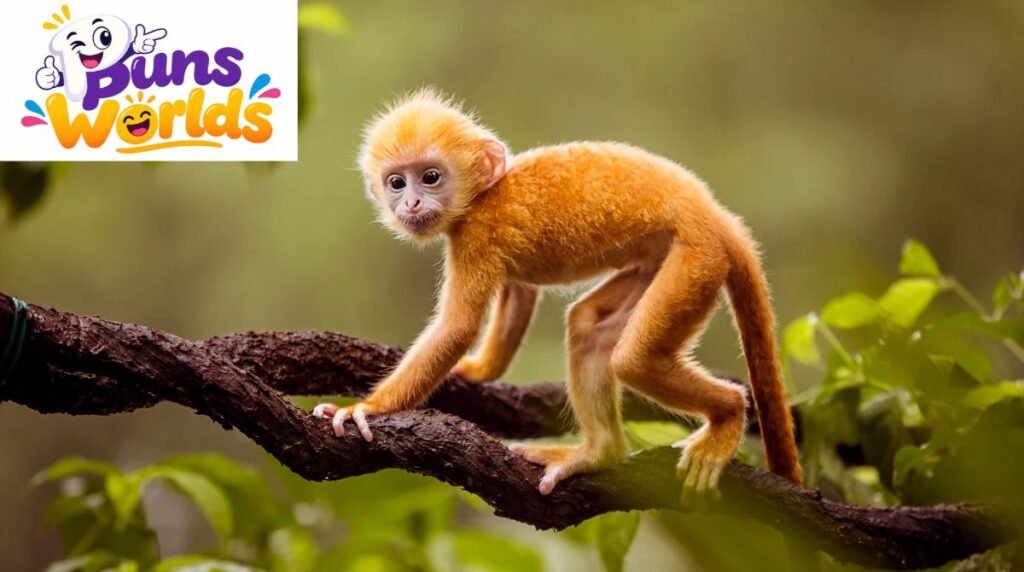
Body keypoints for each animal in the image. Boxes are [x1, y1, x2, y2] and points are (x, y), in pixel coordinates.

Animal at [313, 88, 802, 501]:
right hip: (664, 261)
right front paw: (475, 371)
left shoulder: (477, 234)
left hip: (697, 259)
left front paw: (367, 409)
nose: (410, 203)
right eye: (397, 183)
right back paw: (600, 452)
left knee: (634, 359)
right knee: (590, 327)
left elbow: (457, 327)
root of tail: (714, 215)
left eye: (430, 177)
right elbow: (519, 292)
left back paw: (728, 415)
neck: (483, 194)